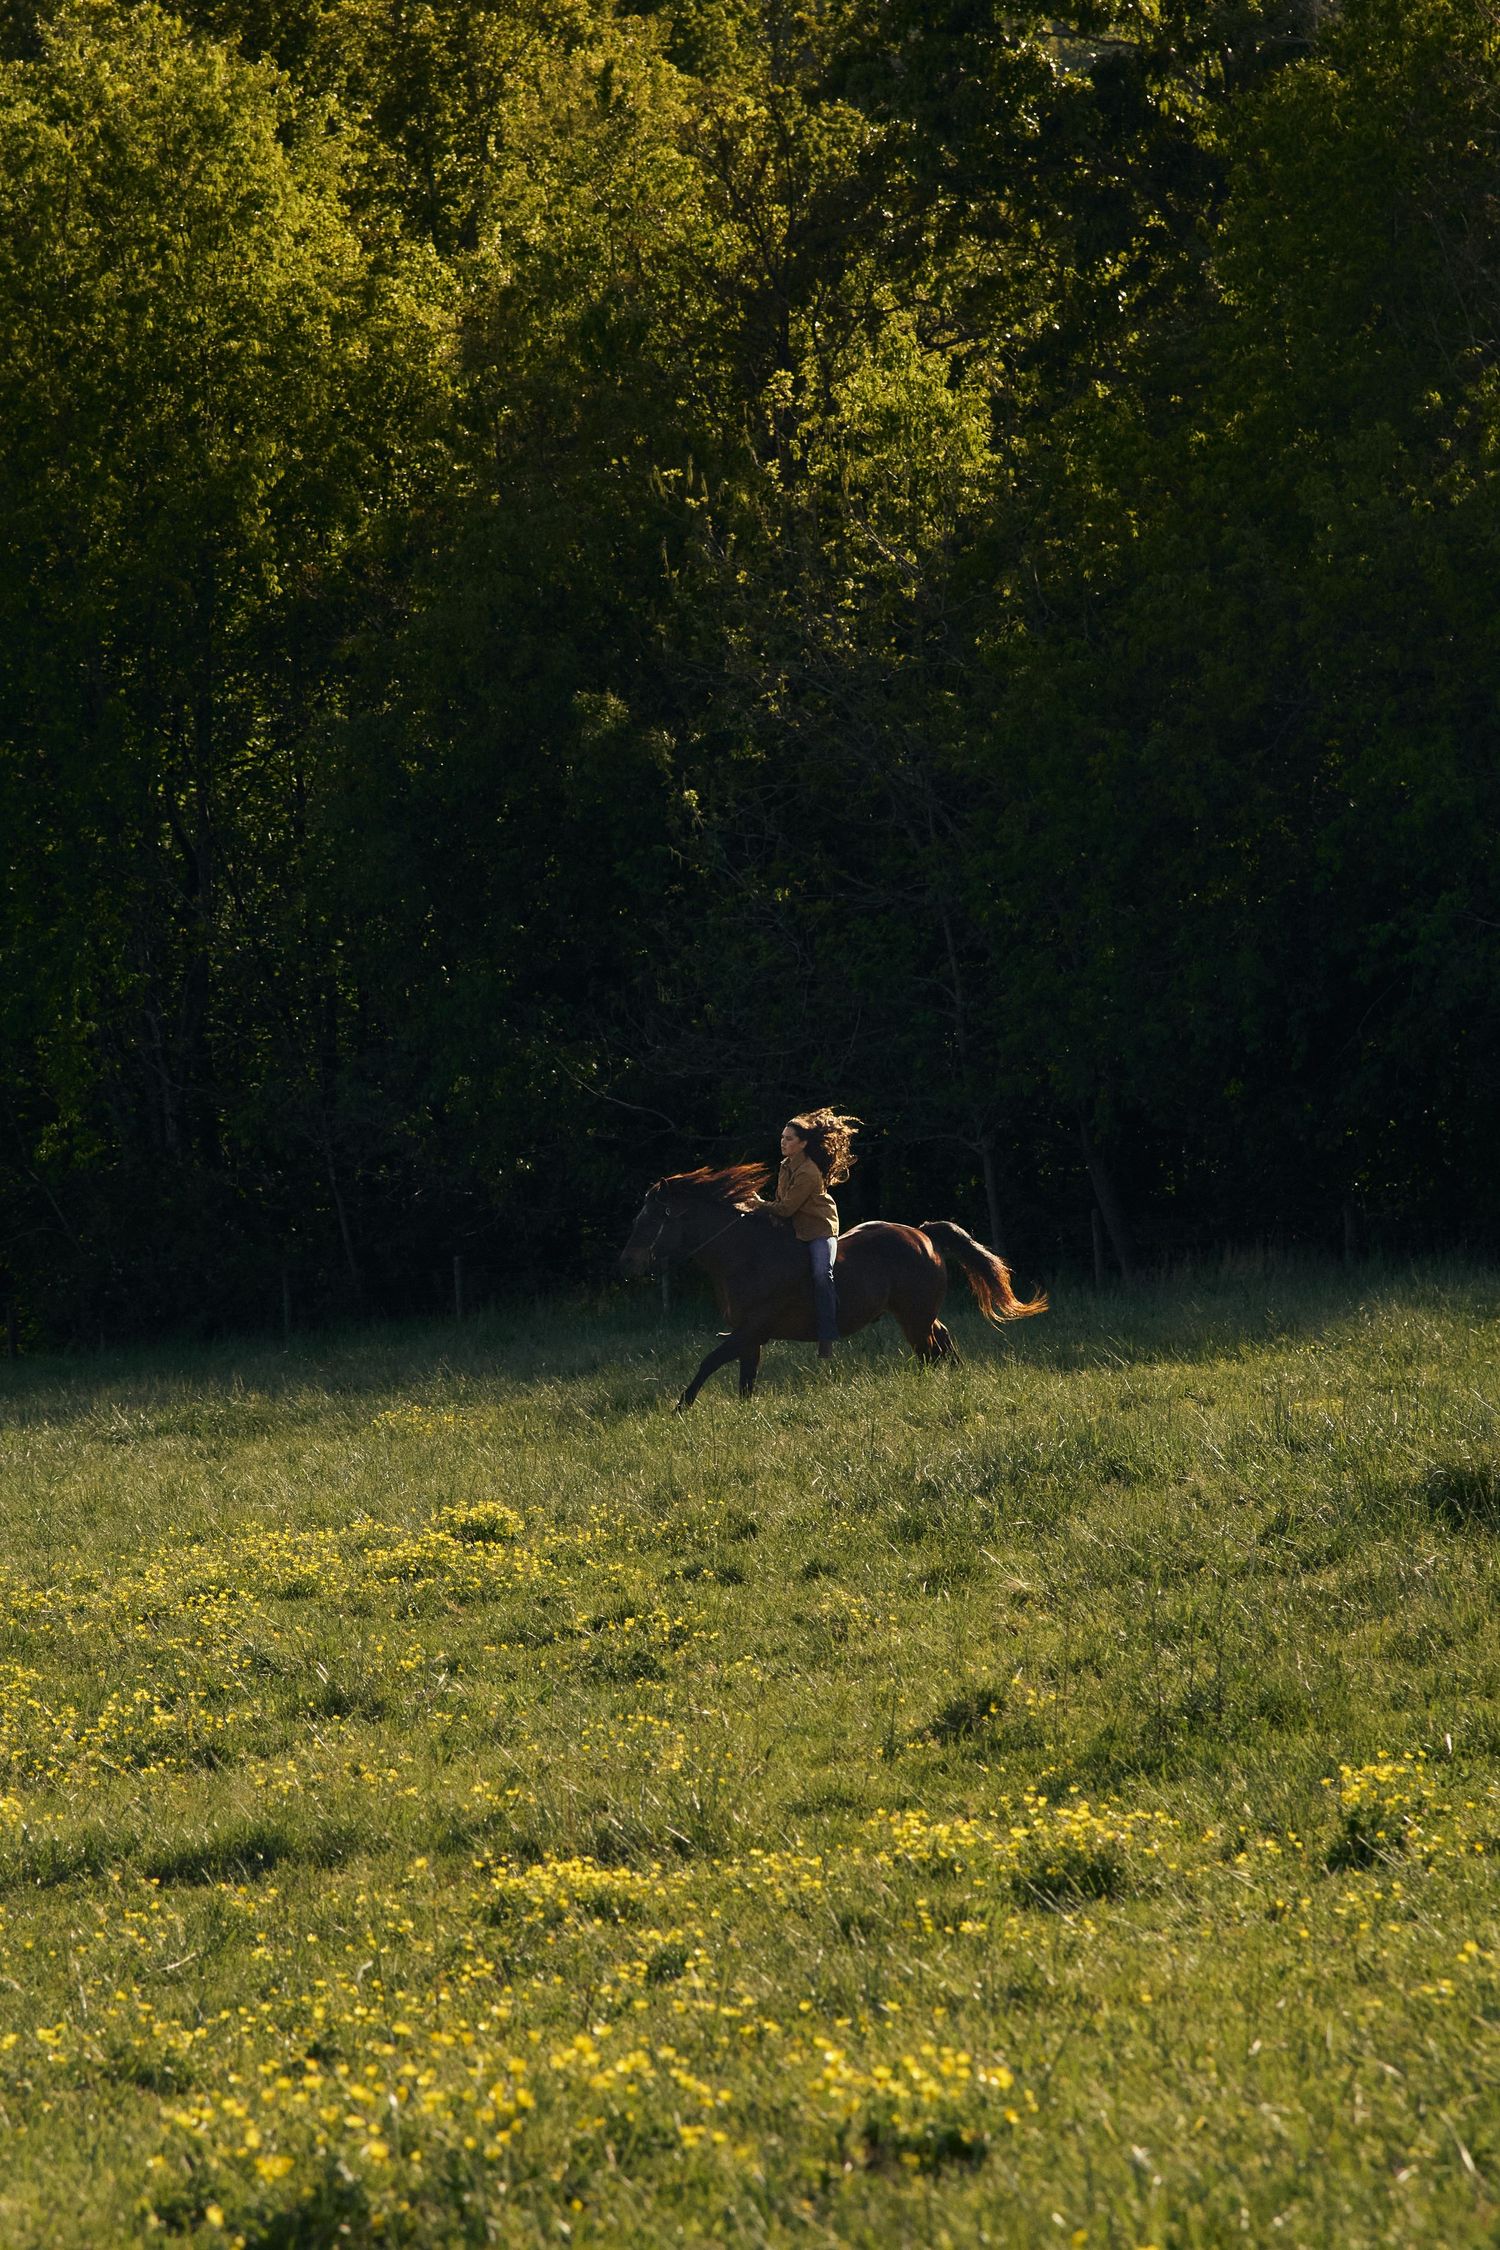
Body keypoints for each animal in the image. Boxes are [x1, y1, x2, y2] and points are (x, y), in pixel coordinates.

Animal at [619, 1163, 1047, 1411]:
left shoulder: (752, 1328)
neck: (746, 1255)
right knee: (942, 1342)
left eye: (651, 1217)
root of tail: (923, 1234)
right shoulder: (750, 1335)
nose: (627, 1263)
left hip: (914, 1318)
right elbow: (745, 1380)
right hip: (918, 1315)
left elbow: (709, 1361)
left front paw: (680, 1408)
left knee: (931, 1351)